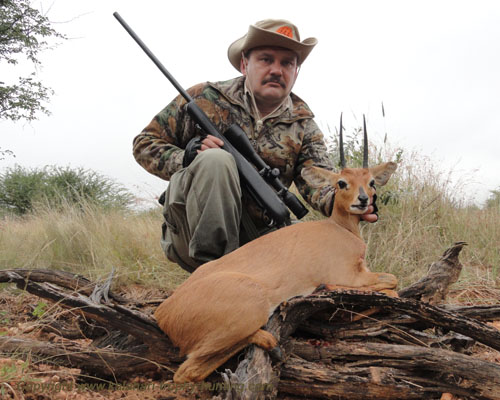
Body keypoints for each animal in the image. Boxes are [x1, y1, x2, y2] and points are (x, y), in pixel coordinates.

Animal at [154, 114, 396, 382]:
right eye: (342, 182)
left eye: (371, 182)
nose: (363, 200)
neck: (341, 230)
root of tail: (163, 313)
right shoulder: (349, 275)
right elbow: (393, 284)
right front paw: (329, 288)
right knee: (185, 372)